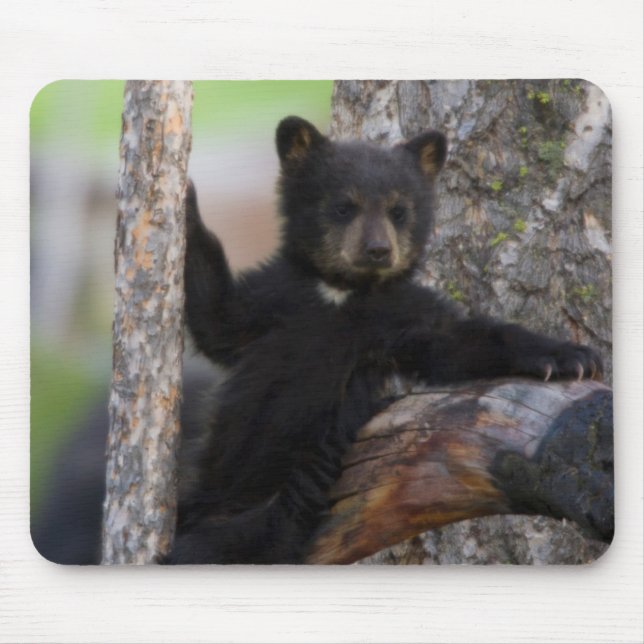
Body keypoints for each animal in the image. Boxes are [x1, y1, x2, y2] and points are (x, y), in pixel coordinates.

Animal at [167, 116, 602, 564]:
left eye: (398, 210)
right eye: (344, 206)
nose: (378, 249)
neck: (342, 292)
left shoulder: (401, 317)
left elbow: (456, 342)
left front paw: (568, 355)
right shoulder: (275, 298)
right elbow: (218, 318)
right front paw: (185, 199)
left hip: (274, 512)